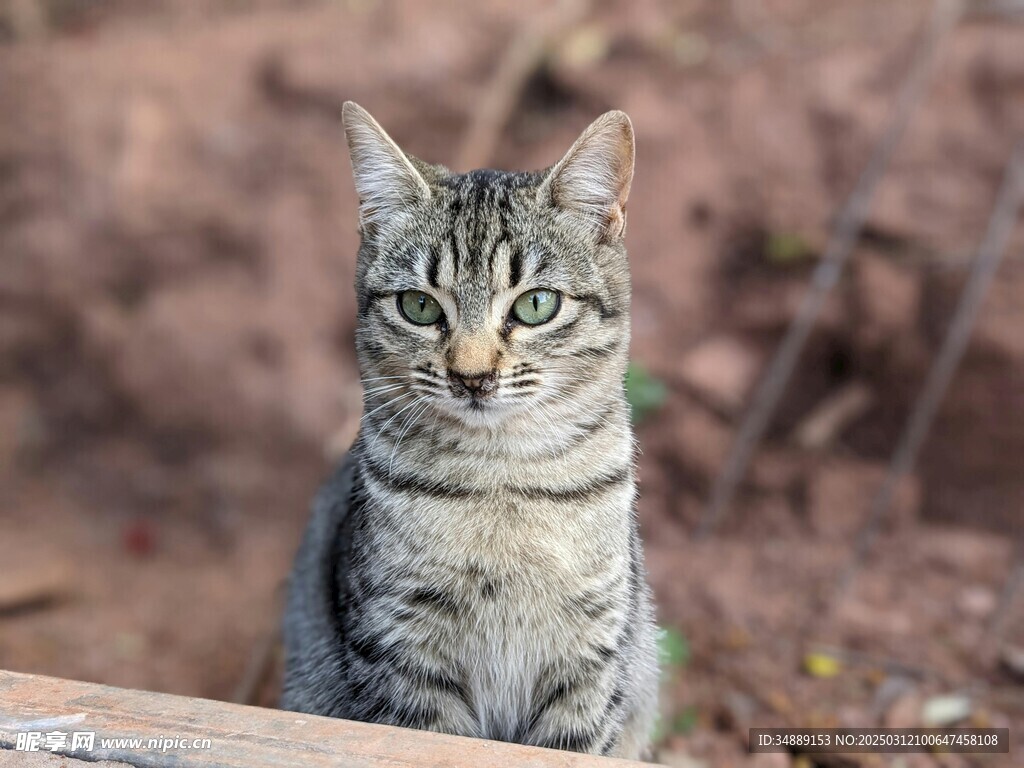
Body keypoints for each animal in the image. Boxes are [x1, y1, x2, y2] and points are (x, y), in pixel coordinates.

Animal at [280, 99, 659, 761]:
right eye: (419, 306)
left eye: (536, 304)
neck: (500, 478)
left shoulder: (593, 652)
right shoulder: (401, 648)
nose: (472, 375)